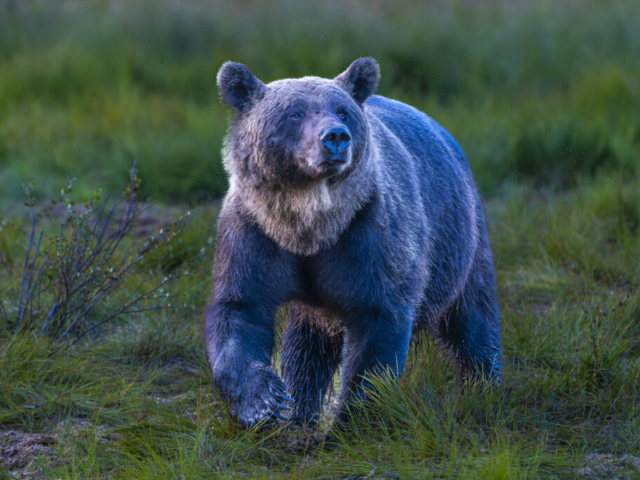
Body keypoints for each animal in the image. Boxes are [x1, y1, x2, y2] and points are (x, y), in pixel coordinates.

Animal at [205, 58, 504, 430]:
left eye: (342, 111)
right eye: (295, 113)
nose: (335, 136)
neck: (308, 227)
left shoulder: (366, 235)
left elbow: (377, 322)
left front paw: (354, 416)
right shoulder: (255, 230)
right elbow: (239, 309)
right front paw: (264, 401)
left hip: (460, 238)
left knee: (472, 317)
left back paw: (484, 385)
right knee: (307, 346)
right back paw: (300, 410)